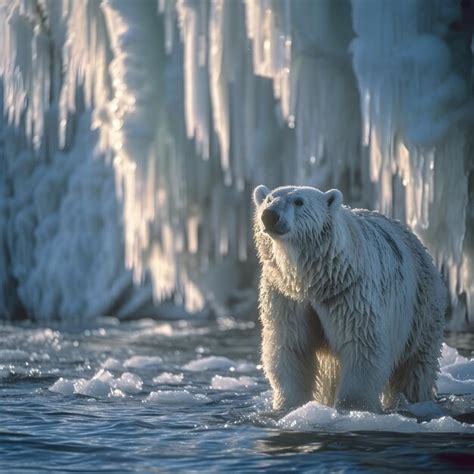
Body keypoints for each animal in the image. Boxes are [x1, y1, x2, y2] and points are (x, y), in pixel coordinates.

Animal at [254, 183, 446, 412]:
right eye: (268, 199)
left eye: (298, 201)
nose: (270, 215)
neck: (313, 280)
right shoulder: (286, 296)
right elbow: (291, 346)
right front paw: (289, 405)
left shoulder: (348, 292)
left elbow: (361, 345)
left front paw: (353, 406)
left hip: (421, 306)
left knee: (415, 366)